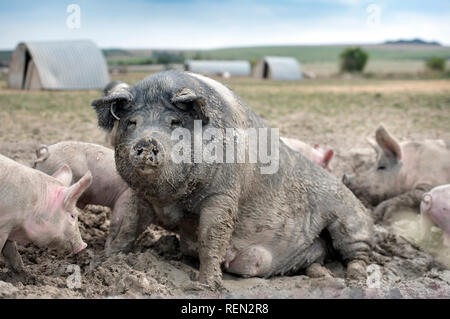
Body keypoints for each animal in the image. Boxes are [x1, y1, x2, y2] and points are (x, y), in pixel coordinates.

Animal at [91, 71, 372, 292]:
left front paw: (203, 287)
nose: (147, 141)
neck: (171, 200)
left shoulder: (223, 194)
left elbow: (211, 237)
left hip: (349, 219)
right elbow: (129, 226)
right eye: (132, 122)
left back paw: (354, 279)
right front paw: (107, 261)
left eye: (175, 122)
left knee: (358, 253)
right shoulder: (140, 195)